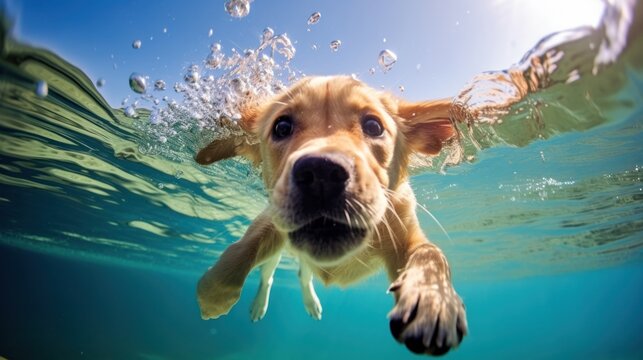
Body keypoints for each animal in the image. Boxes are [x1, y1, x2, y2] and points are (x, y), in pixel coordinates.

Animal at [195, 75, 468, 354]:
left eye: (373, 126)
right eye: (282, 127)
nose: (321, 173)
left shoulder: (404, 234)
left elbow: (431, 253)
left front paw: (433, 300)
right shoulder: (272, 219)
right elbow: (244, 246)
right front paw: (214, 294)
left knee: (303, 274)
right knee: (269, 273)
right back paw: (259, 304)